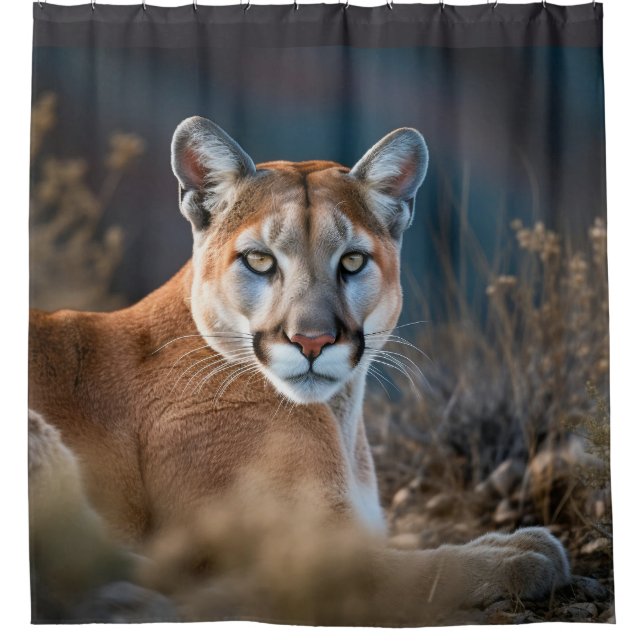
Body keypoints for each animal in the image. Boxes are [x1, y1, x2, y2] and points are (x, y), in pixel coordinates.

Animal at [28, 117, 570, 624]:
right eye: (259, 260)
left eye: (351, 261)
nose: (312, 340)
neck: (338, 415)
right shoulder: (302, 555)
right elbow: (416, 570)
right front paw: (517, 552)